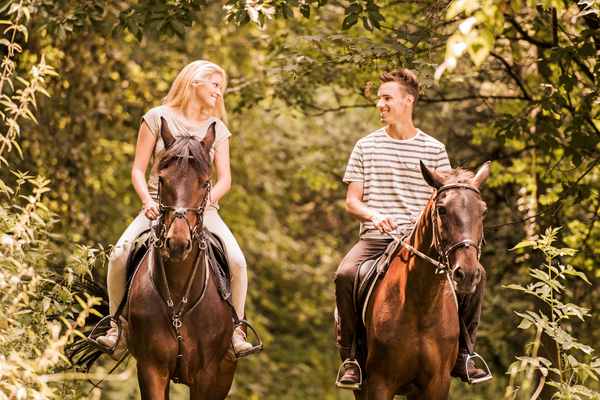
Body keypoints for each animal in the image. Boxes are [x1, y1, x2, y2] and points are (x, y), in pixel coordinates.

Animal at [127, 119, 237, 400]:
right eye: (162, 180)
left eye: (206, 183)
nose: (177, 244)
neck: (177, 295)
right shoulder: (151, 370)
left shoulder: (206, 375)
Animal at [352, 161, 488, 398]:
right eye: (441, 210)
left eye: (483, 211)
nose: (467, 274)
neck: (422, 304)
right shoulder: (380, 382)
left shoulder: (437, 384)